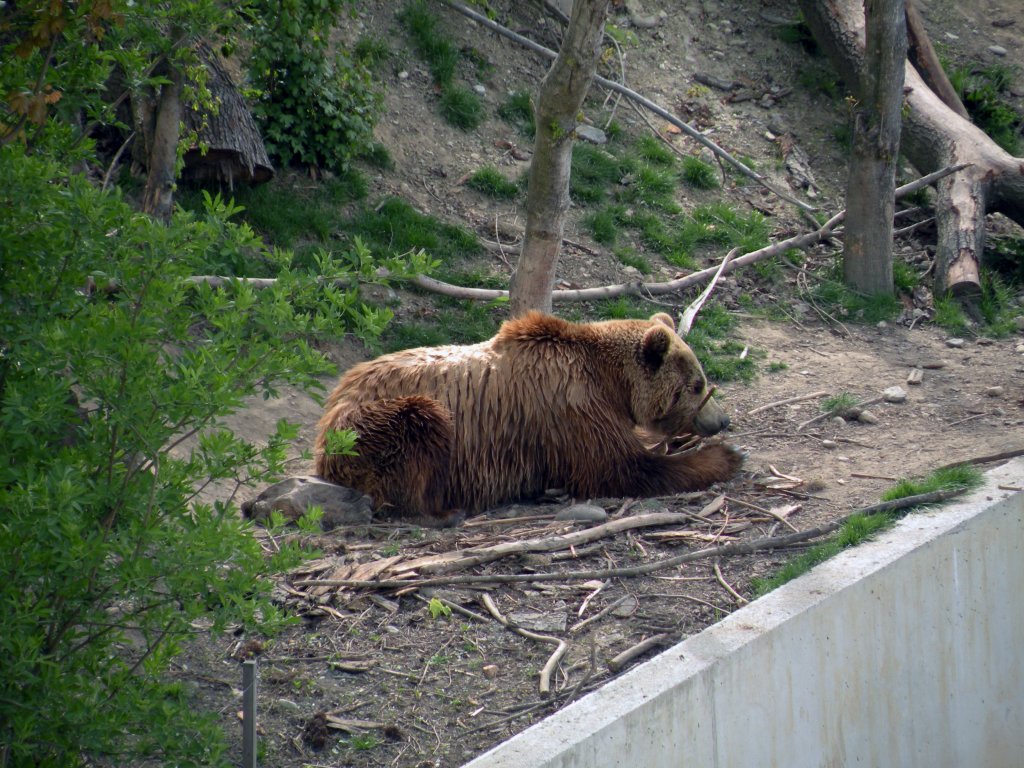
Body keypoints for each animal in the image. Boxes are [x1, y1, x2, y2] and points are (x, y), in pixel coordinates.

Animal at [315, 311, 741, 524]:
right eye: (698, 384)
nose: (721, 421)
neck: (610, 380)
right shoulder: (569, 407)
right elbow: (621, 468)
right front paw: (725, 456)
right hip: (372, 426)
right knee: (420, 427)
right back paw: (444, 512)